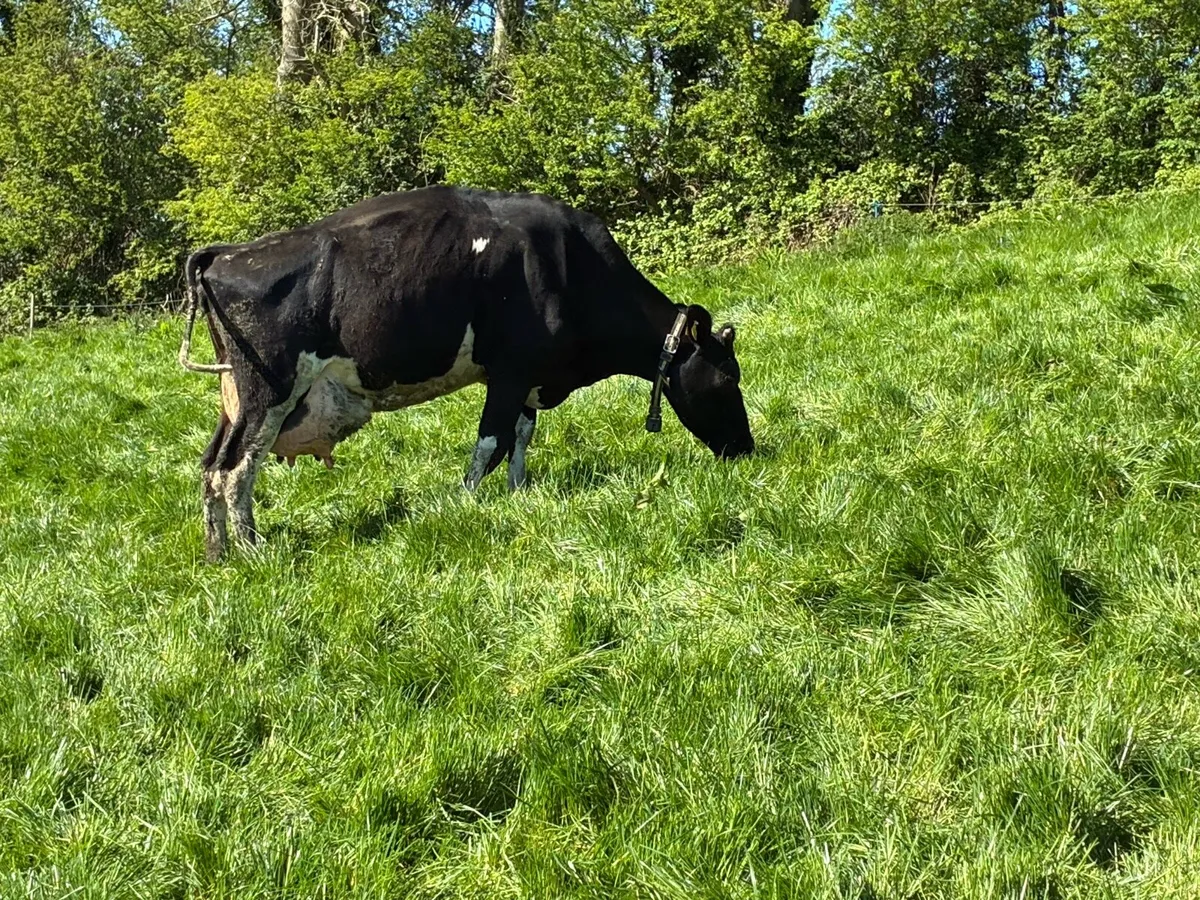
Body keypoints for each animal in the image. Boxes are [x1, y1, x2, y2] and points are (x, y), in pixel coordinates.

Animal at [179, 186, 753, 561]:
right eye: (730, 380)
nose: (746, 449)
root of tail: (226, 253)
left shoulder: (529, 377)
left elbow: (521, 436)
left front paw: (521, 493)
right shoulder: (510, 371)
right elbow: (490, 441)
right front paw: (468, 503)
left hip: (236, 399)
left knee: (211, 466)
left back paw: (217, 555)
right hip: (268, 392)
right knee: (236, 471)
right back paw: (253, 551)